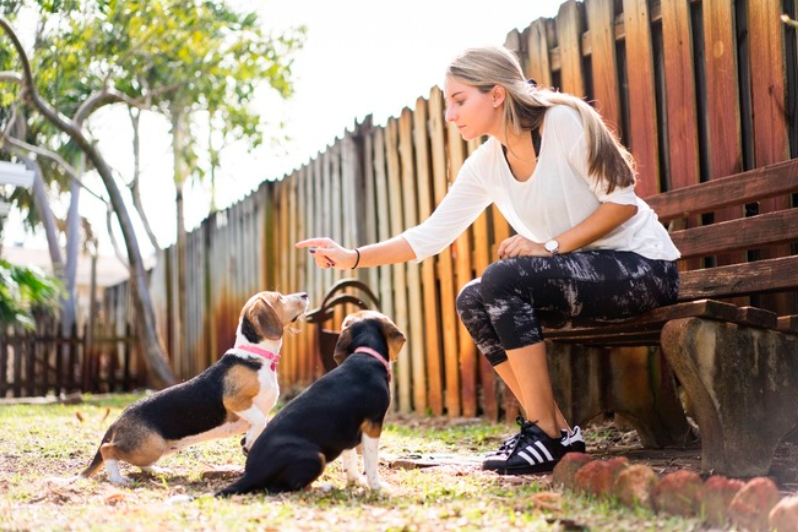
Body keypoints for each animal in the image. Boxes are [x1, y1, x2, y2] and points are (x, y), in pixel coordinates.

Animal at [79, 288, 310, 484]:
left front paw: (249, 442)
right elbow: (260, 419)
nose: (305, 294)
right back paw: (117, 479)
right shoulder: (236, 401)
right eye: (279, 298)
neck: (256, 355)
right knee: (108, 449)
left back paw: (158, 471)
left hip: (153, 449)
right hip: (149, 446)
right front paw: (250, 439)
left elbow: (261, 425)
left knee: (139, 462)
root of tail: (119, 418)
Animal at [216, 310, 406, 496]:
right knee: (285, 488)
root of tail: (251, 473)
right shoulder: (373, 424)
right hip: (316, 456)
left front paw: (355, 481)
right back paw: (324, 487)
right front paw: (377, 487)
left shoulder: (347, 431)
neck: (365, 354)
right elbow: (371, 462)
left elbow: (350, 459)